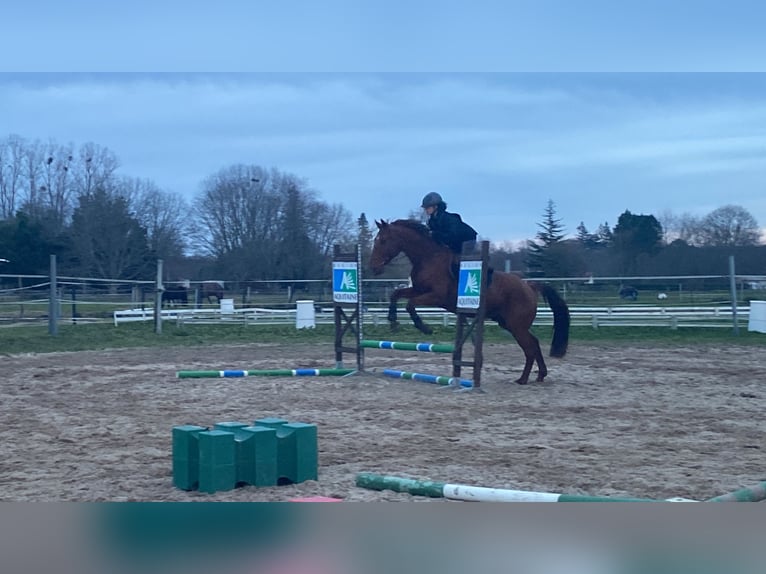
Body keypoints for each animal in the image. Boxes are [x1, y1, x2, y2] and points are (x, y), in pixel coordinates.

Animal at [368, 220, 572, 388]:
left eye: (383, 241)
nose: (373, 267)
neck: (428, 257)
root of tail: (529, 285)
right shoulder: (418, 290)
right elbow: (396, 295)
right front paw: (393, 321)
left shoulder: (436, 297)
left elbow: (410, 305)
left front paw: (424, 328)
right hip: (508, 323)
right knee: (534, 343)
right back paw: (540, 375)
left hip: (516, 326)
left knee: (529, 348)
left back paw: (523, 379)